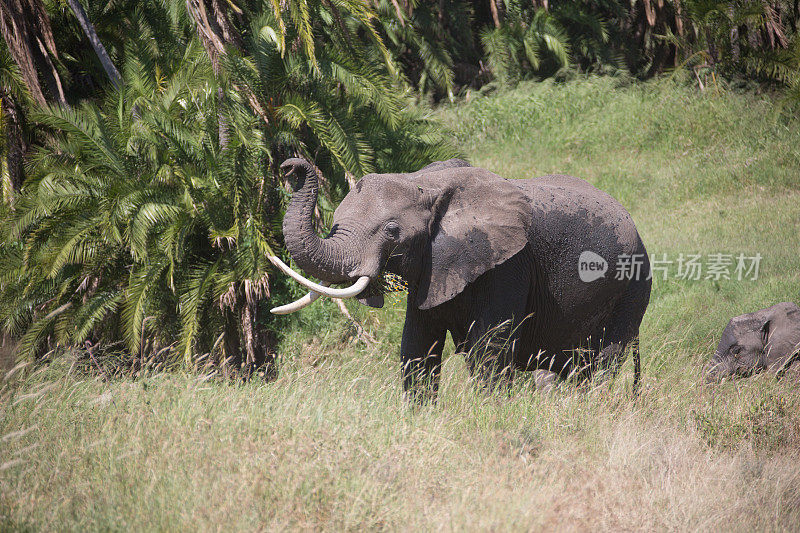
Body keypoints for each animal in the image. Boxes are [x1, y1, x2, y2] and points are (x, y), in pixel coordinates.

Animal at [268, 158, 648, 400]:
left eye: (392, 231)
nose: (289, 167)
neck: (425, 183)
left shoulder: (509, 265)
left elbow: (489, 349)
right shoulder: (433, 265)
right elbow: (417, 346)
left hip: (632, 287)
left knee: (601, 364)